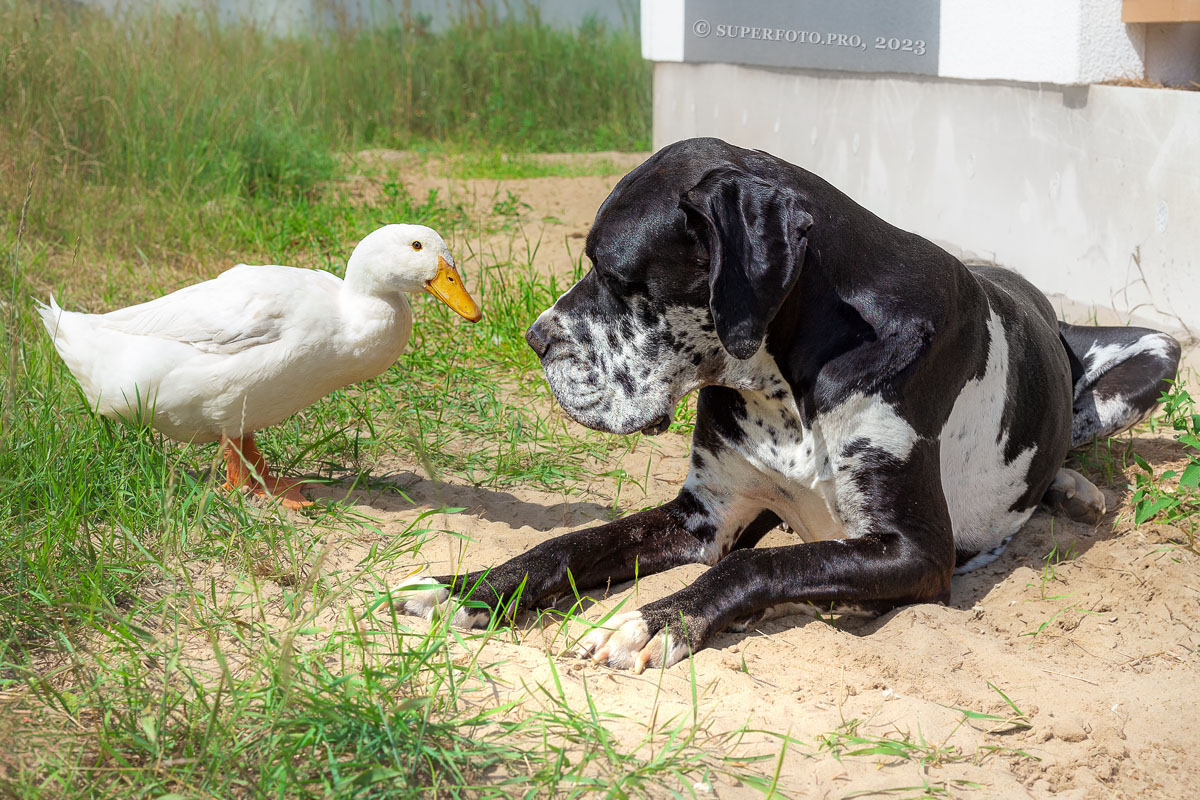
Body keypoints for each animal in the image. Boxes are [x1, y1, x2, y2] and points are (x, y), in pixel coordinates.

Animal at [400, 140, 1180, 671]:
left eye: (617, 274)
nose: (534, 339)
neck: (792, 377)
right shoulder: (705, 515)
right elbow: (568, 544)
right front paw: (465, 589)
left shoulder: (915, 552)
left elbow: (756, 568)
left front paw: (651, 623)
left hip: (1160, 352)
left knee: (1078, 434)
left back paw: (1076, 490)